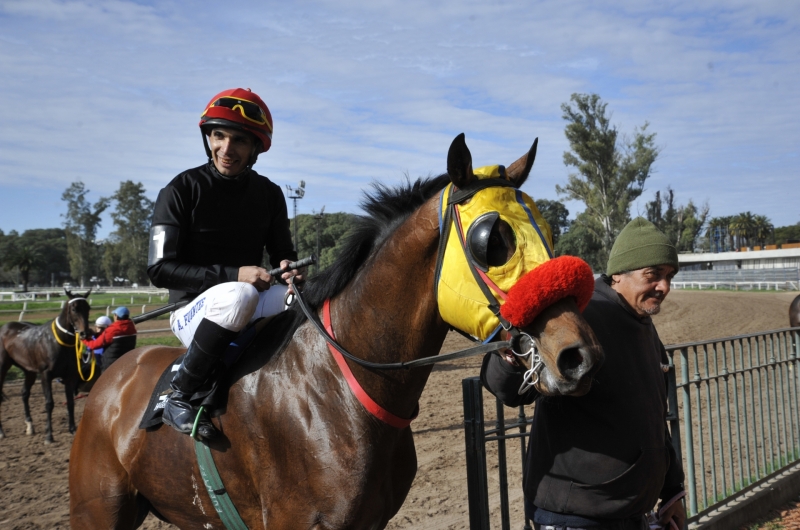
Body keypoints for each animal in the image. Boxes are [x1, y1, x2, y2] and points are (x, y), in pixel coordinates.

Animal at [0, 288, 91, 442]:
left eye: (88, 308)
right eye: (74, 308)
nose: (85, 333)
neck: (58, 341)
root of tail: (4, 327)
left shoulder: (70, 376)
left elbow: (70, 402)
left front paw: (73, 429)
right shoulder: (46, 375)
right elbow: (49, 403)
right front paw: (49, 435)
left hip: (29, 370)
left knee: (24, 393)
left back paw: (30, 426)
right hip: (2, 367)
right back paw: (1, 432)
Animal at [69, 135, 604, 528]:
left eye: (549, 233)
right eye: (492, 240)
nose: (578, 356)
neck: (339, 388)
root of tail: (115, 376)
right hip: (98, 512)